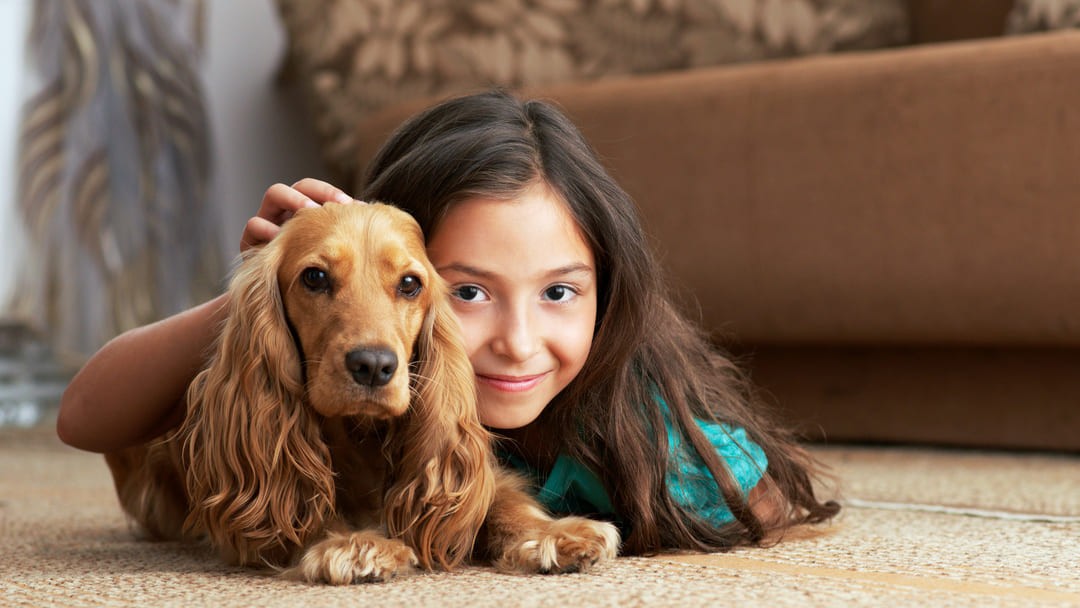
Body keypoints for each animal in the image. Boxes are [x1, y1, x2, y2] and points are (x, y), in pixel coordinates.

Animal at [107, 201, 626, 583]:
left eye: (410, 283)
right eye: (315, 277)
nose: (374, 366)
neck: (361, 436)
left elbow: (500, 500)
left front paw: (554, 534)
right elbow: (304, 504)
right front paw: (357, 545)